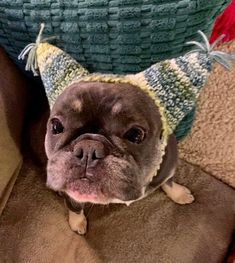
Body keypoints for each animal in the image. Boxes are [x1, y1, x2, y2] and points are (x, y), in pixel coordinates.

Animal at [45, 81, 194, 235]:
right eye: (56, 126)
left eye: (135, 134)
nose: (88, 148)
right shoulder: (72, 195)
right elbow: (74, 207)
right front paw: (77, 222)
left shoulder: (168, 168)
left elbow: (169, 182)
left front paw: (178, 193)